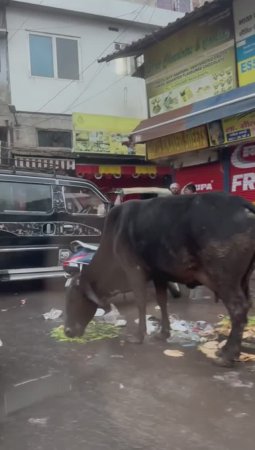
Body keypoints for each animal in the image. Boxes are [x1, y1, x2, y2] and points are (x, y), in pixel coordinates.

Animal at [64, 192, 255, 366]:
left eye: (73, 299)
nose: (67, 331)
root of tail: (243, 204)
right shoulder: (159, 275)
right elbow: (162, 301)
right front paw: (164, 333)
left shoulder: (134, 271)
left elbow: (141, 302)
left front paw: (138, 336)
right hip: (243, 280)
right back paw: (228, 350)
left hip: (223, 279)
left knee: (238, 309)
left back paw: (227, 356)